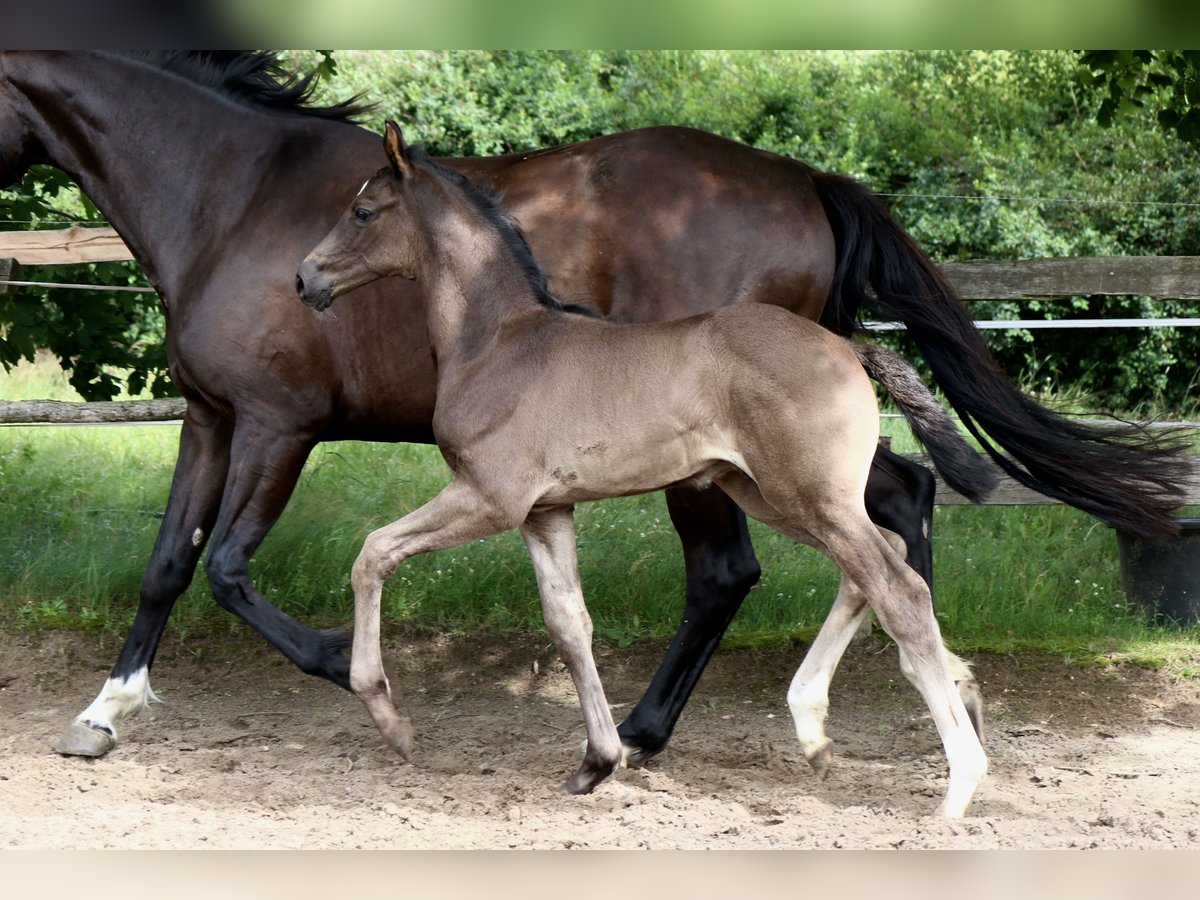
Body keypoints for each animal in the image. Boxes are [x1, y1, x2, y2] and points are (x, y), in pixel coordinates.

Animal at [295, 123, 988, 820]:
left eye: (362, 211)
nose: (305, 278)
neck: (497, 342)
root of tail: (847, 347)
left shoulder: (490, 497)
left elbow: (373, 553)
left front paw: (387, 714)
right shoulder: (546, 512)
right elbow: (569, 624)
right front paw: (597, 762)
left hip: (810, 497)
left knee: (899, 588)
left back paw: (959, 779)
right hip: (770, 495)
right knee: (876, 565)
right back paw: (814, 730)